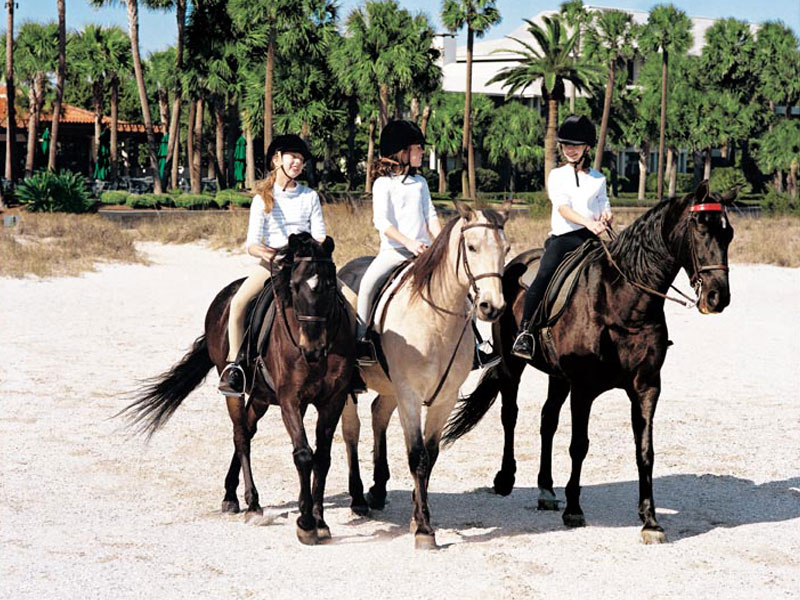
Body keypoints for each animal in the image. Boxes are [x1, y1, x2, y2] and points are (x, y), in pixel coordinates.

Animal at [119, 232, 354, 548]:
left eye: (330, 285)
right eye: (294, 286)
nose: (312, 349)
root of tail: (223, 296)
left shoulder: (332, 400)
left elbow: (323, 458)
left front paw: (320, 521)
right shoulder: (290, 400)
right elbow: (303, 455)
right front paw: (305, 524)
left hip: (262, 396)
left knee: (248, 429)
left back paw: (231, 494)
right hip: (234, 387)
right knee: (241, 435)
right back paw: (251, 504)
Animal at [336, 202, 506, 548]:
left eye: (505, 249)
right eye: (472, 247)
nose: (491, 307)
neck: (436, 318)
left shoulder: (444, 399)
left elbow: (431, 455)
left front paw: (419, 515)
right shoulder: (411, 396)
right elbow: (417, 456)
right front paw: (424, 529)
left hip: (390, 388)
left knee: (378, 415)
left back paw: (377, 491)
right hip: (358, 388)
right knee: (351, 430)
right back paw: (358, 498)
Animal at [440, 182, 736, 544]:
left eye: (728, 234)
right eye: (700, 230)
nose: (718, 297)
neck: (622, 303)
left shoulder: (647, 387)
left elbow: (645, 451)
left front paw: (650, 521)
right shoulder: (584, 388)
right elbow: (578, 445)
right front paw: (574, 509)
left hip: (557, 376)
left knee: (547, 420)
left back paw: (546, 490)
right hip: (513, 363)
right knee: (510, 414)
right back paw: (506, 478)